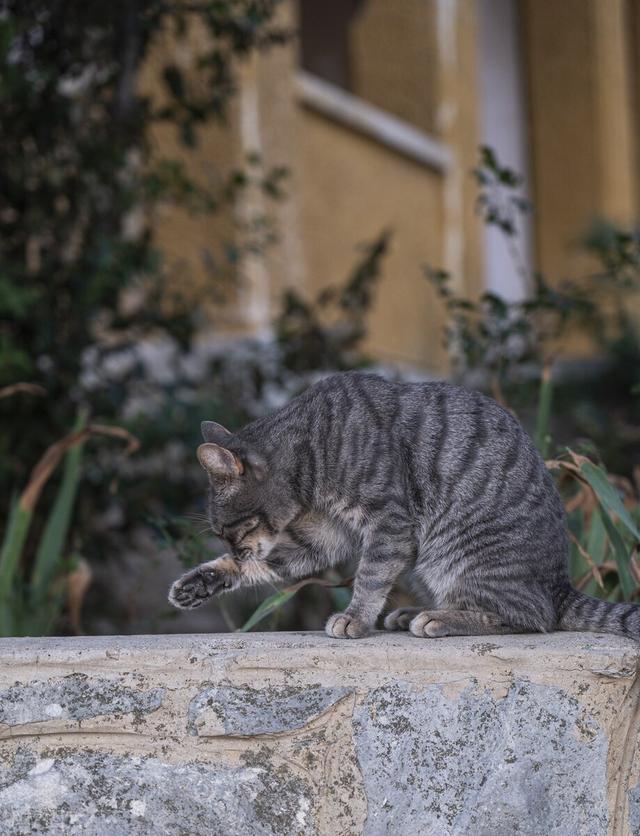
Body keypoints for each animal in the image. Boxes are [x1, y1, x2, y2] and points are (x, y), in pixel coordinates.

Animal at [168, 372, 636, 640]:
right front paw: (202, 580)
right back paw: (414, 611)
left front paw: (355, 619)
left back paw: (439, 619)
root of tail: (561, 585)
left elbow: (370, 577)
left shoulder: (388, 523)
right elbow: (269, 563)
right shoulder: (327, 535)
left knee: (533, 616)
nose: (235, 549)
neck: (311, 450)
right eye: (221, 536)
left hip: (456, 554)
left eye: (234, 530)